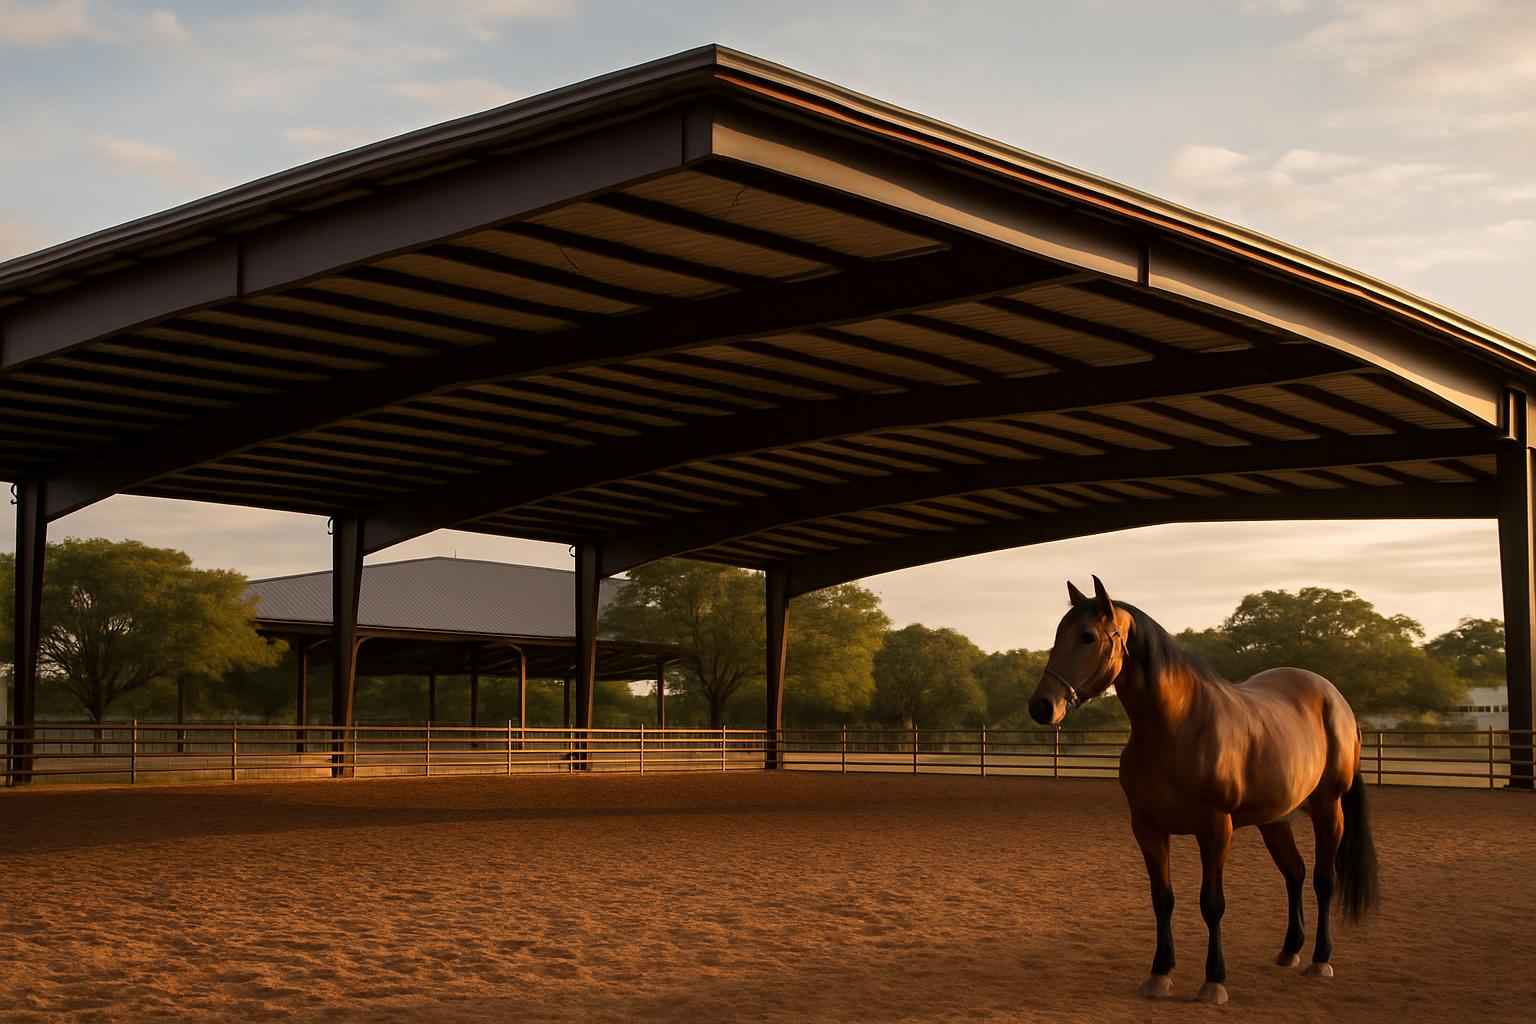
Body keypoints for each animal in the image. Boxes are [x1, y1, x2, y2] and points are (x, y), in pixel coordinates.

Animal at [1028, 577, 1379, 1005]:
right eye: (1058, 635)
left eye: (1087, 636)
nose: (1042, 706)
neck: (1177, 727)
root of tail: (1335, 699)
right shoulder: (1147, 829)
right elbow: (1162, 900)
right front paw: (1159, 974)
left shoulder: (1214, 829)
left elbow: (1212, 904)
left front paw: (1214, 981)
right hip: (1275, 819)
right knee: (1294, 874)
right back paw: (1289, 951)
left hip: (1329, 807)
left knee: (1323, 880)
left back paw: (1320, 959)